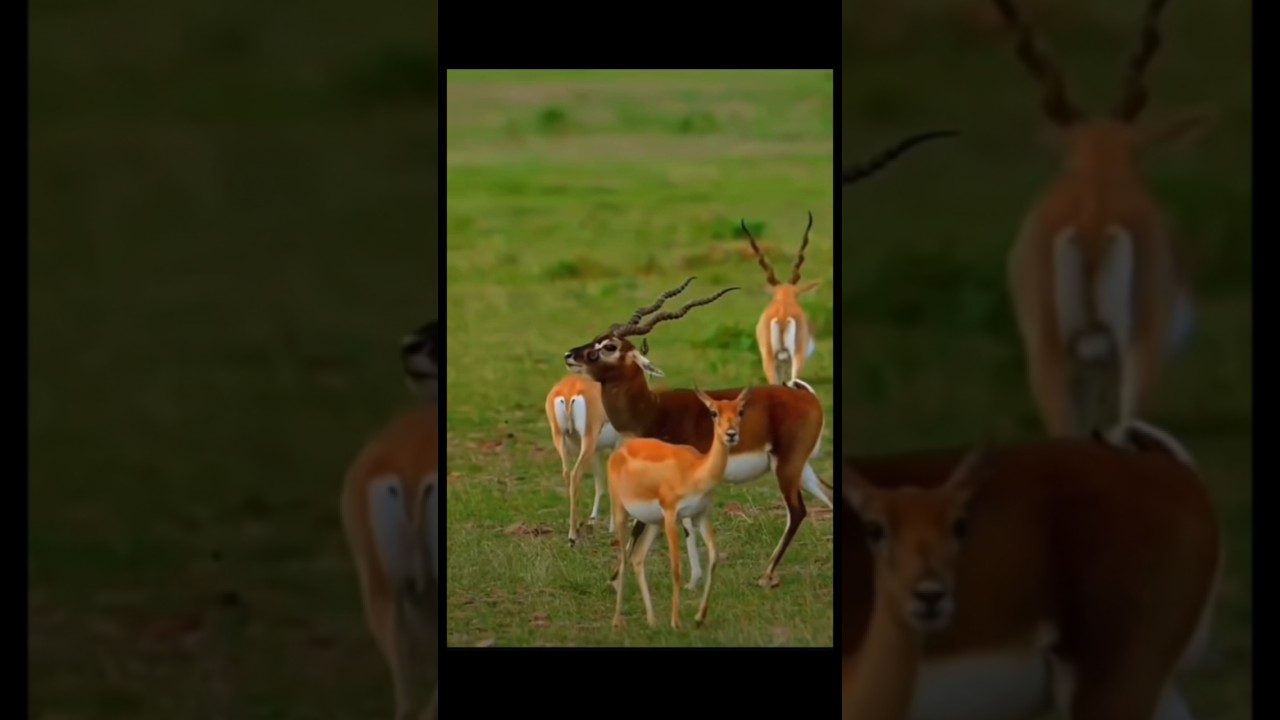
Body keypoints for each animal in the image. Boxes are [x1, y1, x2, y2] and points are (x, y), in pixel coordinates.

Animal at [565, 277, 831, 587]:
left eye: (609, 346)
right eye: (597, 338)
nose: (570, 354)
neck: (652, 411)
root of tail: (805, 395)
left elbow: (654, 524)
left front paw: (620, 578)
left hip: (787, 466)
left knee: (797, 511)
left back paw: (766, 576)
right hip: (801, 466)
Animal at [609, 386, 750, 629]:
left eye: (740, 411)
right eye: (714, 412)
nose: (731, 434)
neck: (695, 470)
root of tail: (618, 453)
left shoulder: (701, 514)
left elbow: (714, 558)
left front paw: (699, 617)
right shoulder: (671, 514)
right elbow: (676, 566)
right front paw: (676, 621)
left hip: (652, 522)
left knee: (638, 558)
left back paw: (652, 620)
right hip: (621, 512)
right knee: (625, 559)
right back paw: (617, 622)